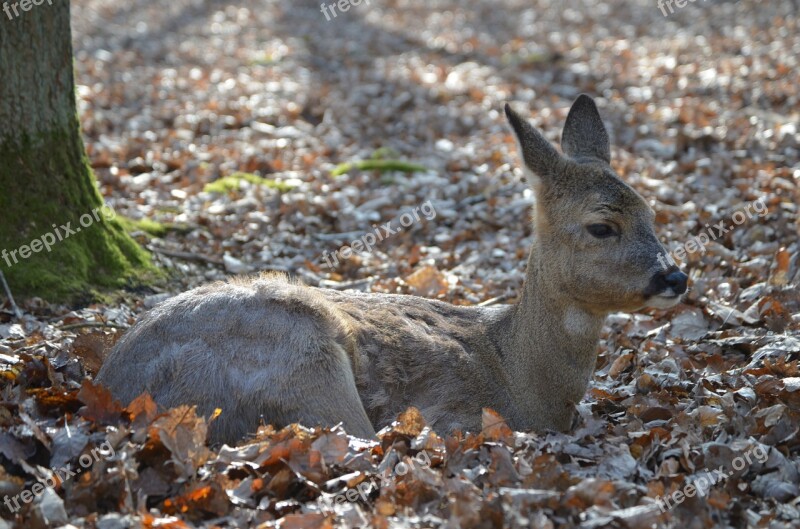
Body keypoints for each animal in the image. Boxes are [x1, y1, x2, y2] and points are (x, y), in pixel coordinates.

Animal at [95, 96, 688, 446]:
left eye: (654, 212)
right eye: (601, 226)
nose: (675, 278)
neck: (521, 380)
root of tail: (111, 386)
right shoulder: (451, 413)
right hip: (306, 367)